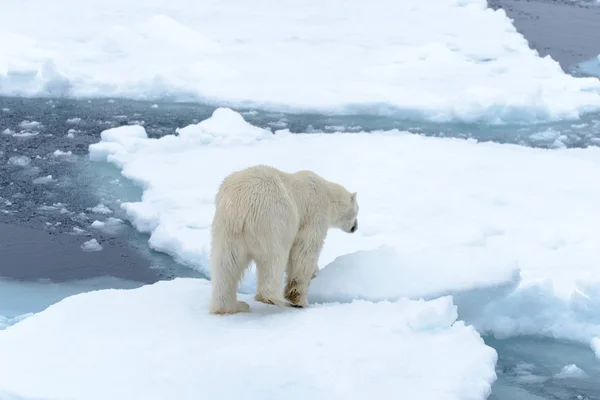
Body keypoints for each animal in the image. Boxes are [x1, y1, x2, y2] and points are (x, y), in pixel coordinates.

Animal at [209, 164, 358, 314]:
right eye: (357, 210)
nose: (355, 227)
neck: (327, 193)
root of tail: (239, 206)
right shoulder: (315, 213)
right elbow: (305, 251)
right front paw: (298, 300)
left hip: (226, 231)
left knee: (225, 264)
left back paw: (233, 306)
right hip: (273, 219)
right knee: (274, 258)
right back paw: (273, 298)